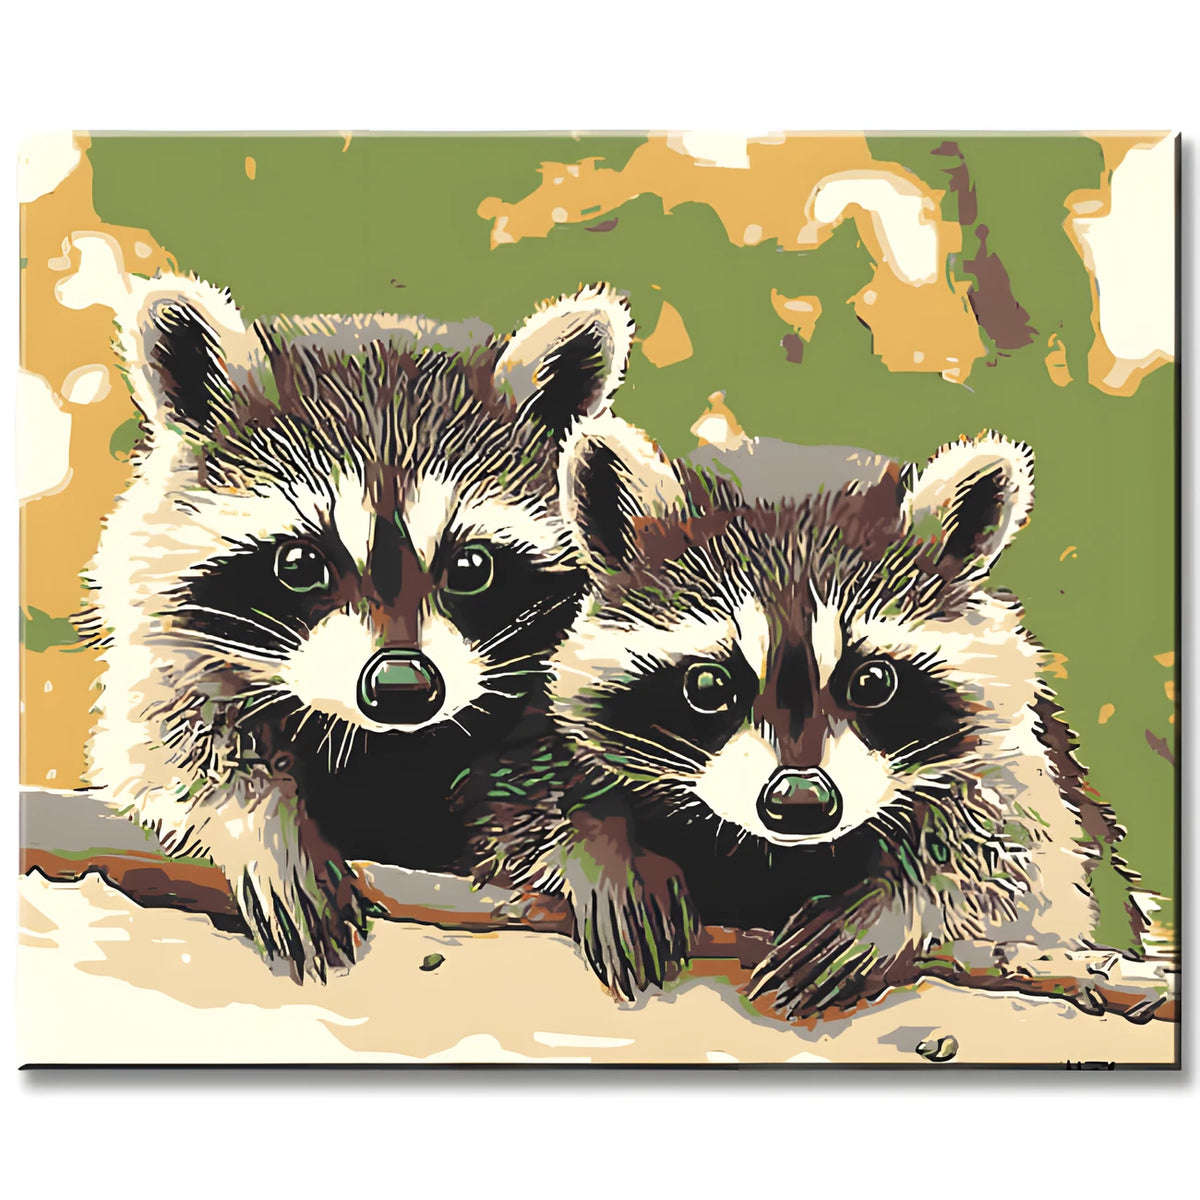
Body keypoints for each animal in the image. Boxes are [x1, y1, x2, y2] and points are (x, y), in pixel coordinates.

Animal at [80, 274, 637, 981]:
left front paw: (593, 835)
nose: (402, 687)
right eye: (299, 563)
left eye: (471, 566)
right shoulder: (172, 641)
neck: (383, 743)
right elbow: (169, 744)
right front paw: (259, 815)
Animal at [469, 420, 1146, 1016]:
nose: (799, 803)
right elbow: (523, 800)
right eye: (709, 685)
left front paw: (898, 905)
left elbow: (1016, 864)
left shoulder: (1016, 764)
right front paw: (599, 844)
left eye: (872, 682)